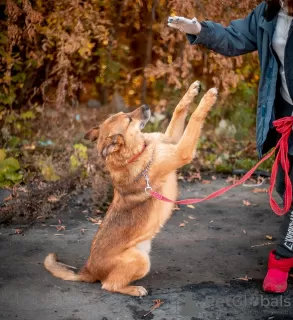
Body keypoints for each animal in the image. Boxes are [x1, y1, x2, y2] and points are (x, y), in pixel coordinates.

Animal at [43, 81, 217, 296]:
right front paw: (208, 98)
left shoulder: (171, 139)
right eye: (128, 119)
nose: (146, 105)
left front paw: (192, 90)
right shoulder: (181, 151)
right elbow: (195, 117)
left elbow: (179, 110)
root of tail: (88, 270)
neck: (136, 153)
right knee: (108, 285)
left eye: (125, 113)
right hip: (141, 260)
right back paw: (134, 289)